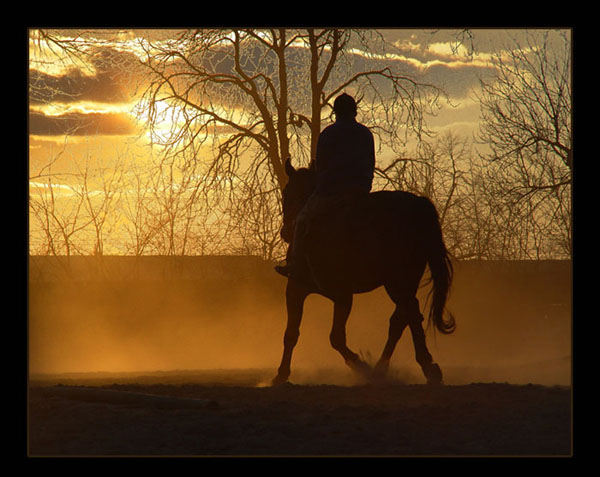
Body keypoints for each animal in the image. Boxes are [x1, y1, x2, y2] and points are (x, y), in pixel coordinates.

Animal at [272, 158, 454, 384]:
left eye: (287, 192)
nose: (286, 232)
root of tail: (417, 204)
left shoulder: (338, 294)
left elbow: (336, 338)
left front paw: (360, 366)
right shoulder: (299, 288)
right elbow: (291, 333)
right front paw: (281, 375)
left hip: (397, 282)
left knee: (407, 314)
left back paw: (419, 367)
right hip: (404, 281)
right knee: (403, 317)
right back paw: (387, 368)